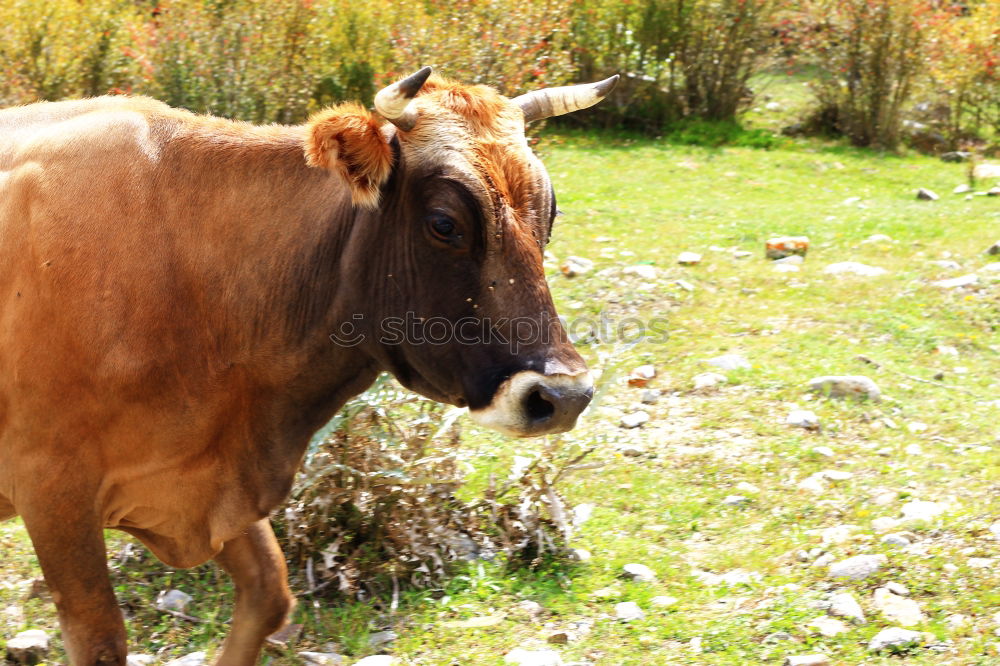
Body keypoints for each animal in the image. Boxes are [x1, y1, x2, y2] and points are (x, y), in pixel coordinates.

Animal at [0, 70, 616, 660]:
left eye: (550, 214)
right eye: (444, 223)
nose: (564, 396)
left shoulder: (210, 483)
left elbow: (270, 595)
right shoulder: (52, 489)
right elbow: (100, 639)